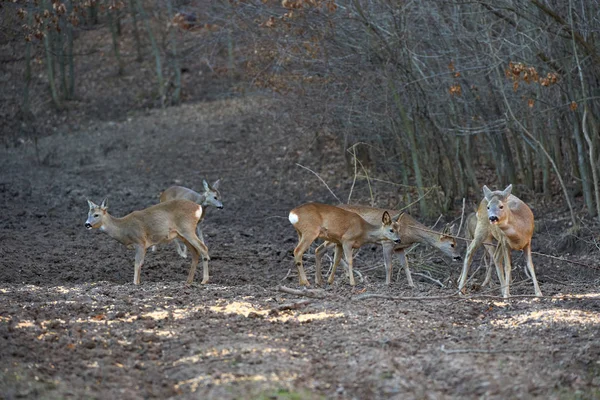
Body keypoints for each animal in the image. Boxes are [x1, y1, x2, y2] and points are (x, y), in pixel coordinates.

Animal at [316, 205, 462, 286]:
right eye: (452, 244)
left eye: (456, 243)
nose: (459, 257)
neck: (410, 232)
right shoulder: (387, 243)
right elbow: (389, 265)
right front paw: (387, 283)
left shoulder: (400, 248)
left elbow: (405, 265)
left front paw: (412, 285)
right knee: (321, 249)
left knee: (322, 250)